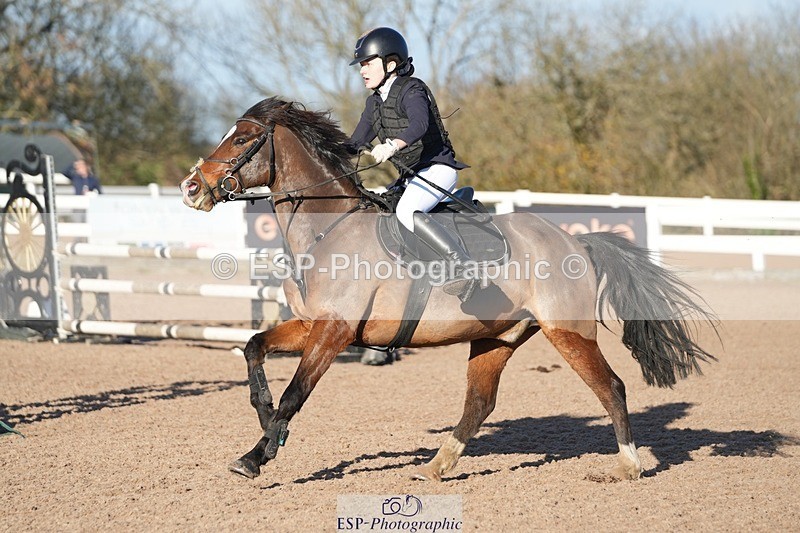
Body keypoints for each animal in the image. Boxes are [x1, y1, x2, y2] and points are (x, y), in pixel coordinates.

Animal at [179, 97, 717, 481]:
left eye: (242, 139)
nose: (191, 188)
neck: (328, 228)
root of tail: (575, 241)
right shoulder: (312, 325)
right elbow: (254, 347)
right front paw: (266, 423)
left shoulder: (334, 332)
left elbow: (297, 393)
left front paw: (257, 454)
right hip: (496, 338)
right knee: (479, 404)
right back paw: (436, 466)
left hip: (568, 331)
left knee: (611, 387)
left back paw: (628, 466)